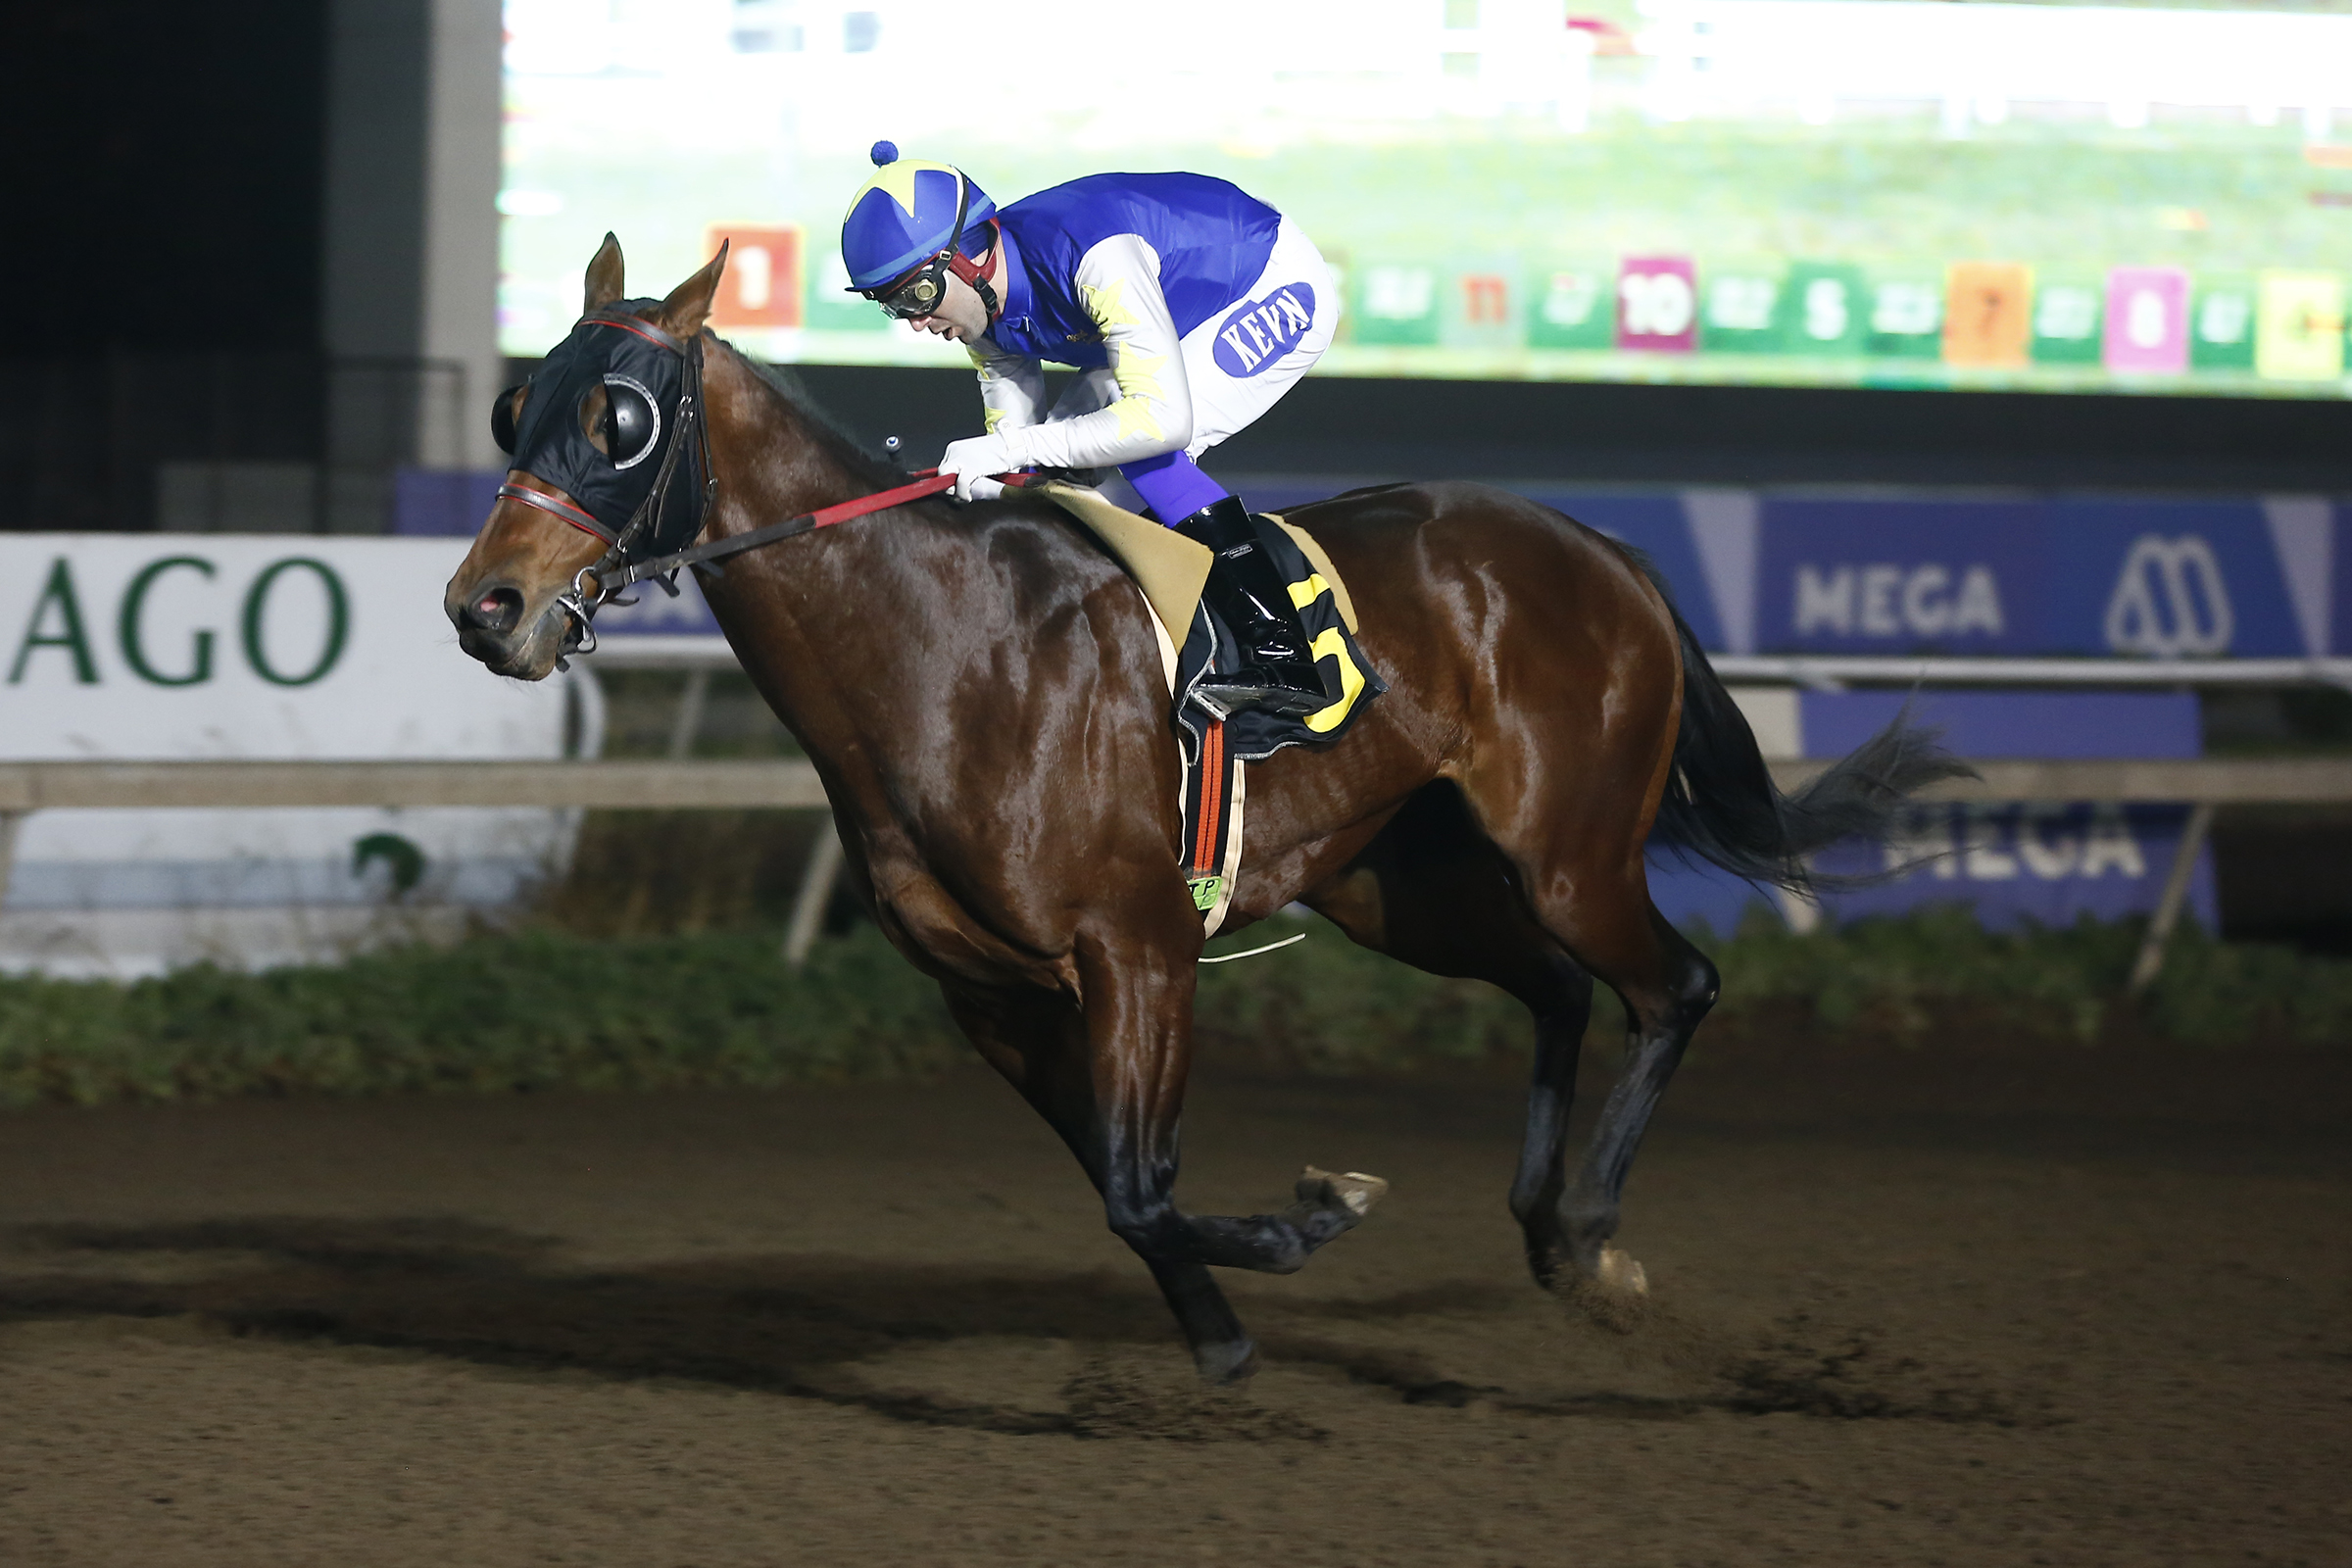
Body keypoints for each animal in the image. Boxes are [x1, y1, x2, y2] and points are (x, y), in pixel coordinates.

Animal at [446, 239, 1964, 1384]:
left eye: (620, 419)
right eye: (516, 410)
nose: (485, 608)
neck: (940, 652)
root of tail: (1609, 553)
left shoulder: (1140, 948)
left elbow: (1143, 1180)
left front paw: (1317, 1217)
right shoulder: (990, 993)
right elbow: (1124, 1191)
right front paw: (1226, 1340)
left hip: (1569, 851)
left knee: (1673, 985)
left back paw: (1592, 1236)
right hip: (1392, 885)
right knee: (1557, 989)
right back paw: (1546, 1231)